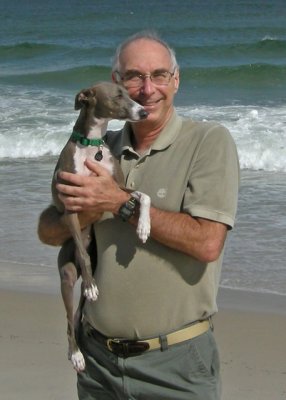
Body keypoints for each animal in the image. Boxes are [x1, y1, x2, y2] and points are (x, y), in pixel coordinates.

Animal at [51, 83, 151, 374]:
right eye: (118, 95)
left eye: (129, 93)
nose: (144, 112)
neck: (92, 146)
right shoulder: (71, 207)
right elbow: (82, 253)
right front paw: (92, 287)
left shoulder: (117, 187)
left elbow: (144, 196)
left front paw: (143, 227)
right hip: (66, 276)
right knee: (68, 318)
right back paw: (76, 354)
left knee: (76, 316)